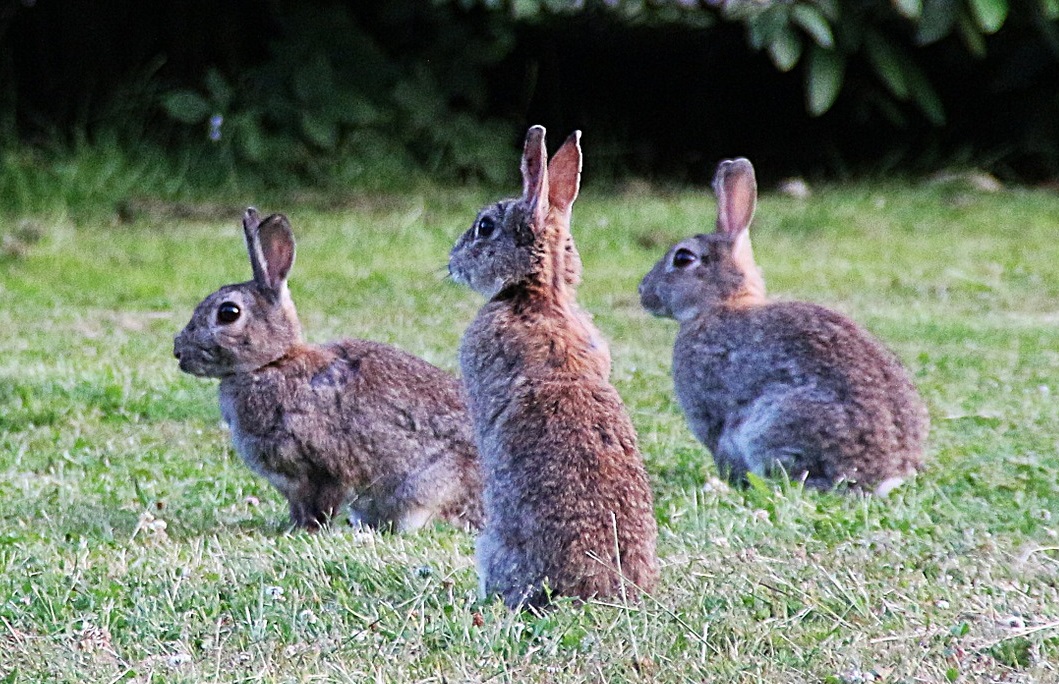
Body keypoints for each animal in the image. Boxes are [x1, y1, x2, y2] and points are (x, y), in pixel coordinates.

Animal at [174, 208, 483, 532]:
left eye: (228, 313)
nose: (178, 351)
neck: (273, 363)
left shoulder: (320, 466)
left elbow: (322, 501)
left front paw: (306, 529)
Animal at [639, 158, 928, 495]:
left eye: (683, 258)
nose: (643, 292)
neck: (722, 304)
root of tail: (885, 476)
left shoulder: (712, 416)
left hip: (773, 426)